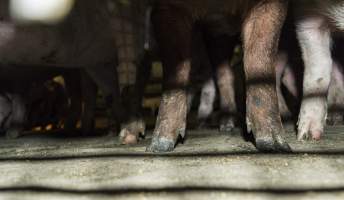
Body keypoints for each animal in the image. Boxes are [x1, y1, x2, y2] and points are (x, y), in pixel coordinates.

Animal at [148, 0, 290, 152]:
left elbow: (261, 60)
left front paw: (275, 145)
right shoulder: (165, 7)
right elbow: (175, 71)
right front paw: (159, 145)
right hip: (217, 36)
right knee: (222, 72)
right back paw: (225, 126)